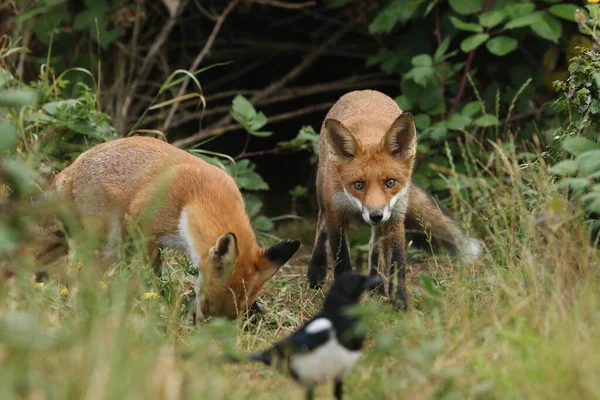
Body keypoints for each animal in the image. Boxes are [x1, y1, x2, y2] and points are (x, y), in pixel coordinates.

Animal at [37, 136, 300, 320]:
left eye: (231, 317)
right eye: (206, 305)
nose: (199, 332)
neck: (198, 196)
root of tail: (73, 165)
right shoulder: (145, 233)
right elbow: (154, 278)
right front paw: (156, 302)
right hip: (107, 241)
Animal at [310, 90, 482, 310]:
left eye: (390, 182)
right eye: (358, 185)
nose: (375, 215)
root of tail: (363, 91)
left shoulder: (394, 217)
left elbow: (396, 263)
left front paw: (400, 303)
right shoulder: (336, 213)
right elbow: (342, 260)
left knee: (374, 248)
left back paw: (376, 285)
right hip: (323, 194)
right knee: (321, 226)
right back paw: (315, 271)